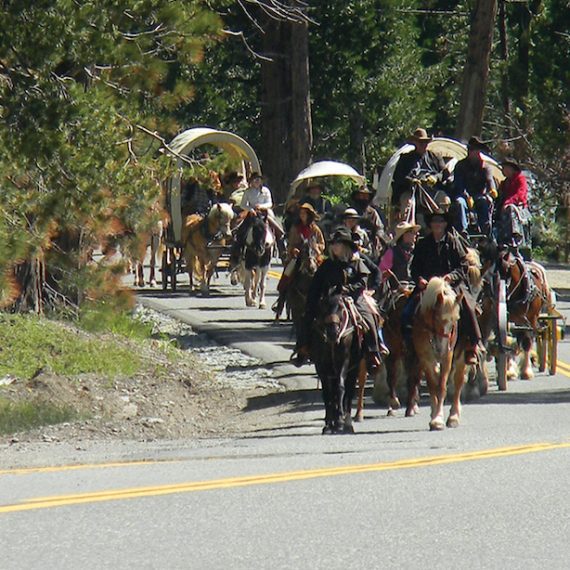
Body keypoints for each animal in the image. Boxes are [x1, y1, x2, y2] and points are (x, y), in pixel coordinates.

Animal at [311, 290, 366, 434]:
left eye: (341, 308)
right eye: (324, 308)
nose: (333, 332)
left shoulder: (344, 361)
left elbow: (341, 388)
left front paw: (340, 421)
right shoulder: (321, 366)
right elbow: (327, 393)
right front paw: (328, 425)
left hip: (353, 369)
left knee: (349, 392)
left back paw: (346, 423)